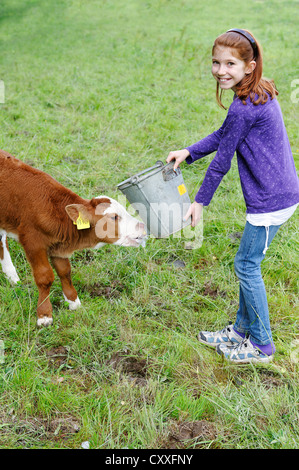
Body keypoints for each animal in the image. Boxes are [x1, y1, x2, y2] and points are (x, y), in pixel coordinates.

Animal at [0, 151, 146, 326]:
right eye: (113, 217)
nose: (142, 226)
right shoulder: (32, 241)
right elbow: (45, 276)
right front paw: (44, 315)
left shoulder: (58, 247)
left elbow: (65, 271)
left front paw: (73, 302)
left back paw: (12, 278)